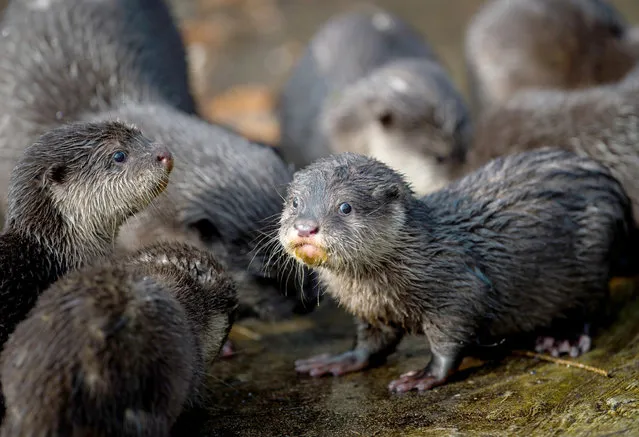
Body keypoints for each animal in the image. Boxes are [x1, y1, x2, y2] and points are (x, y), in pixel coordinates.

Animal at [278, 150, 636, 392]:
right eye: (295, 203)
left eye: (345, 206)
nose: (306, 227)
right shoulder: (371, 311)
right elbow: (370, 344)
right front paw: (338, 360)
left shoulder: (458, 291)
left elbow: (450, 340)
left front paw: (423, 376)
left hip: (593, 257)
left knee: (594, 305)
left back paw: (564, 339)